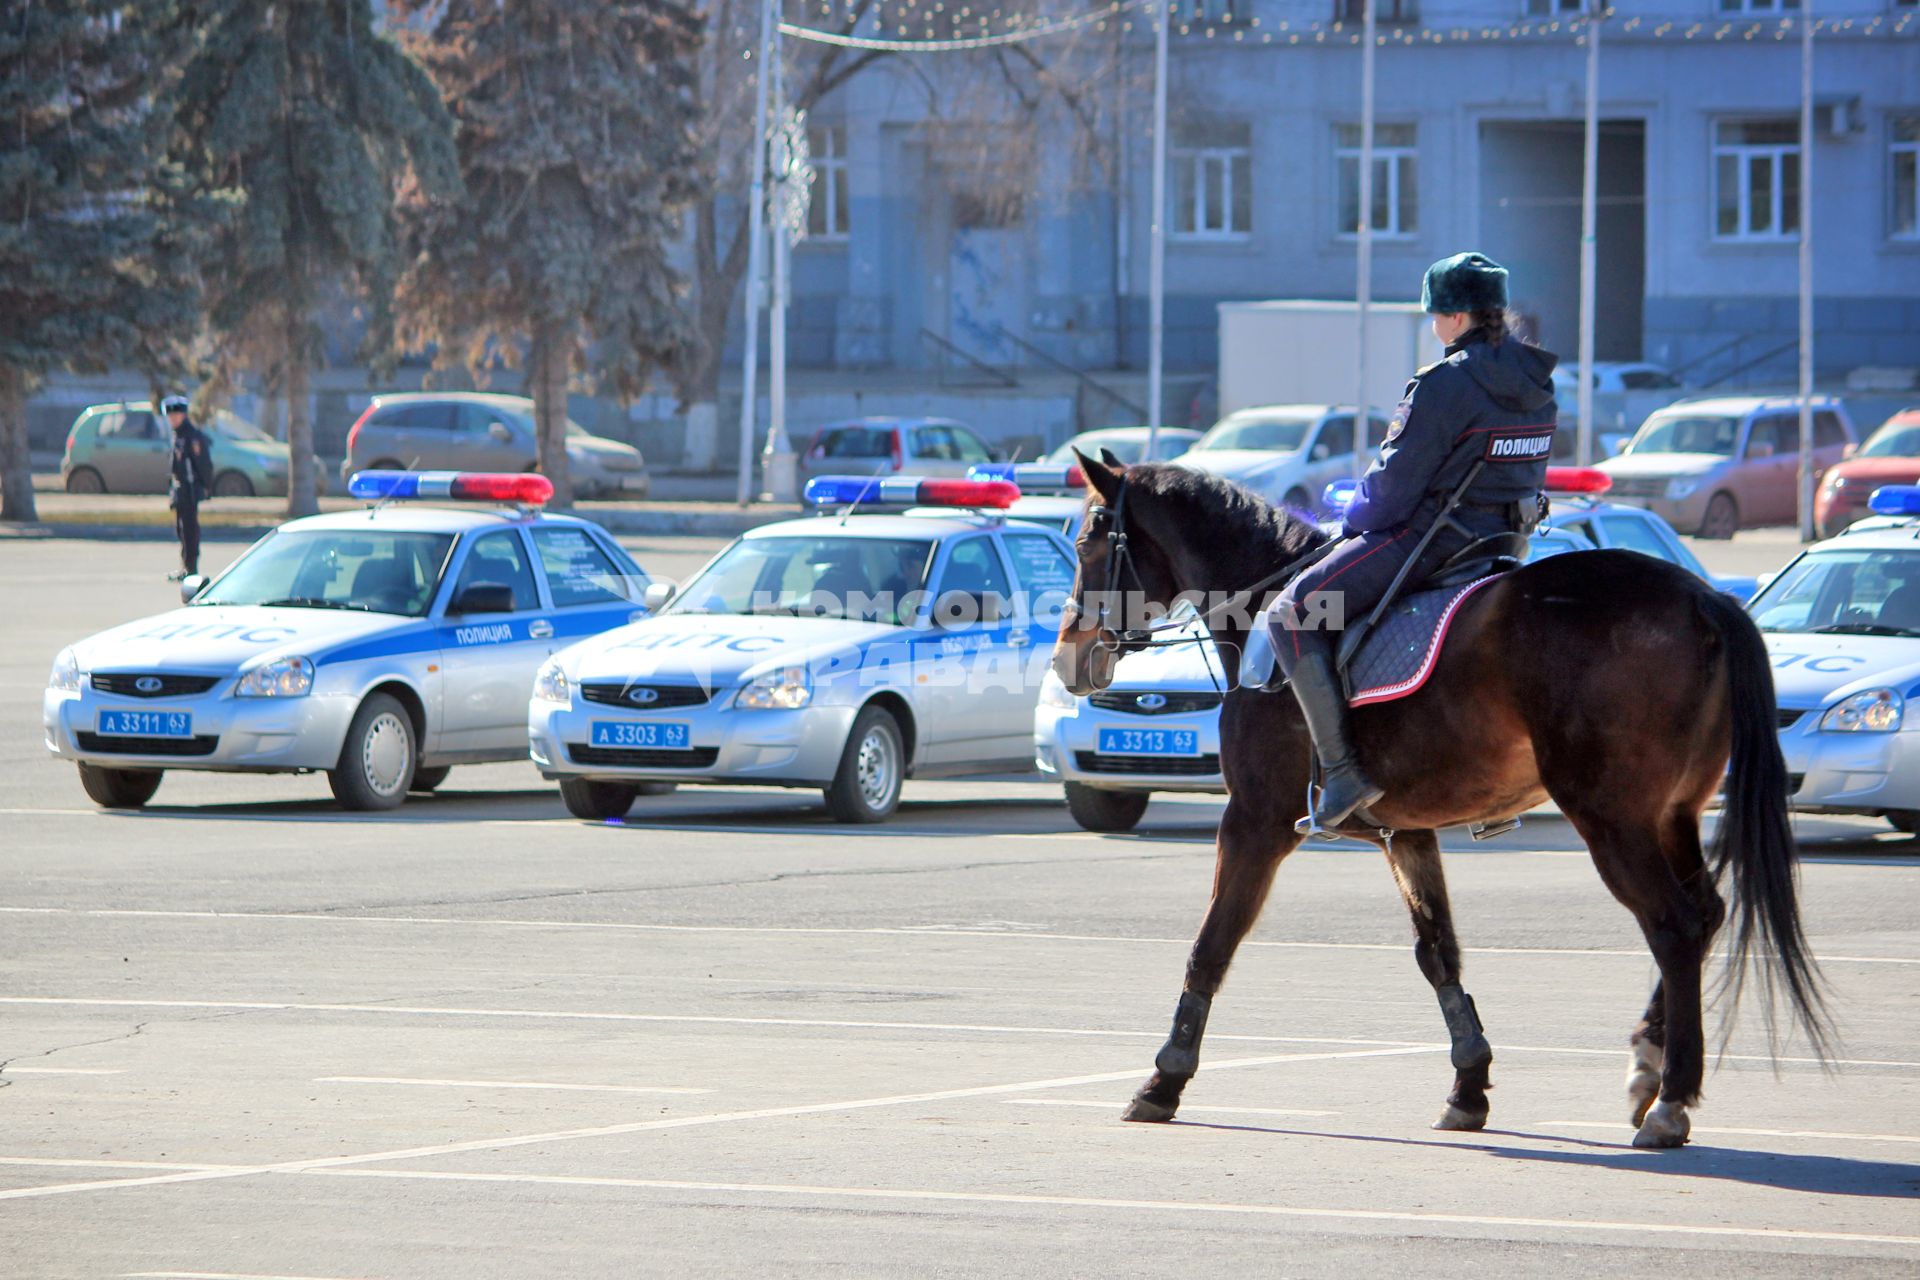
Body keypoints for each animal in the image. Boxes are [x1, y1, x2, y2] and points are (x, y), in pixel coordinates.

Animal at [1059, 452, 1835, 1151]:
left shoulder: (1255, 822)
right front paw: (1469, 1085)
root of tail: (1703, 596)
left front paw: (1164, 1080)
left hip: (1614, 818)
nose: (1069, 653)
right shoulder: (1405, 834)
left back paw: (1670, 1097)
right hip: (1670, 814)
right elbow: (1438, 953)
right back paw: (1649, 1063)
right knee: (1705, 914)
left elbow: (1211, 946)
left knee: (1674, 926)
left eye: (1091, 538)